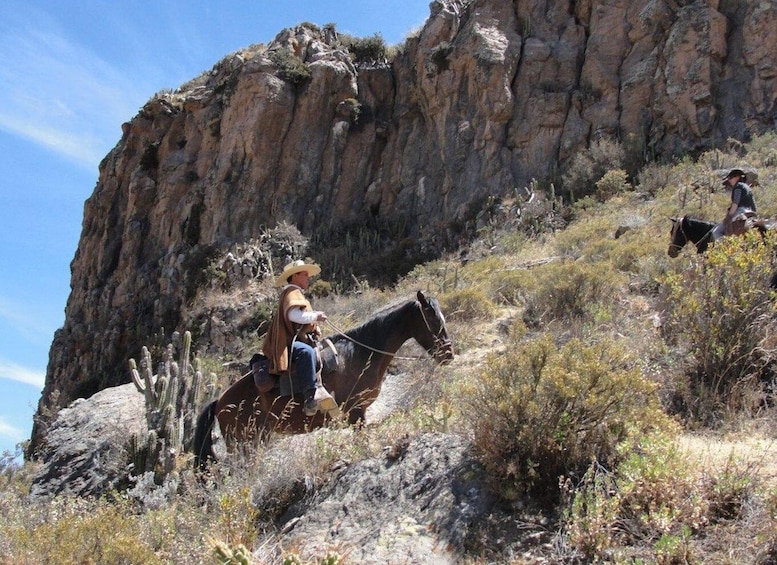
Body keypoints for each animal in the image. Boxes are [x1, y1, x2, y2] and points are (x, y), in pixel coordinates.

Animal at [190, 290, 452, 468]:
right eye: (433, 318)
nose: (449, 354)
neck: (361, 353)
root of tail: (220, 401)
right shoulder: (356, 412)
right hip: (244, 444)